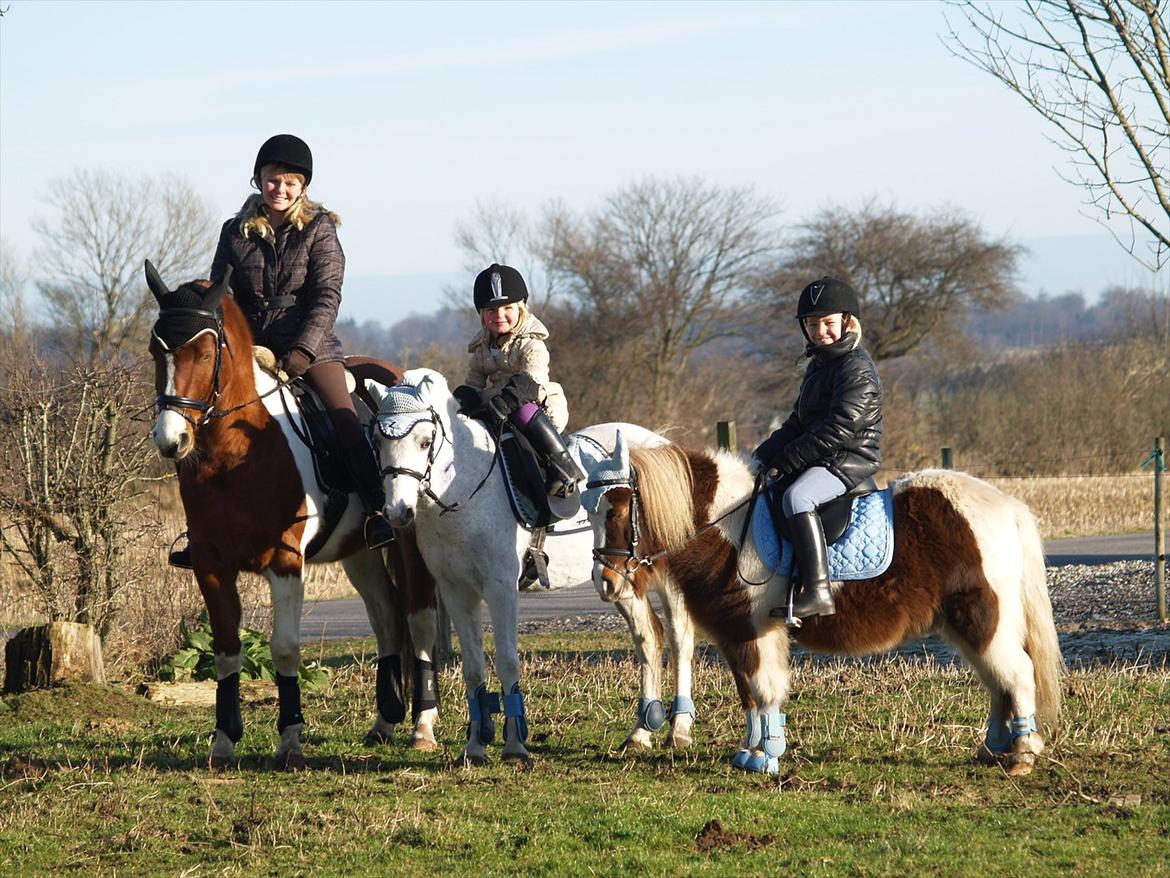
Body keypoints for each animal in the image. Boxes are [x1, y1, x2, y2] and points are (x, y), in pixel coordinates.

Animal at [146, 259, 439, 767]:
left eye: (203, 353)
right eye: (154, 351)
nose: (171, 440)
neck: (238, 450)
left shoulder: (284, 561)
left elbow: (284, 649)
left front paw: (290, 741)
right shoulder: (210, 565)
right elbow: (226, 650)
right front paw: (224, 741)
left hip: (410, 541)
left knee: (418, 619)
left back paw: (422, 726)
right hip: (359, 551)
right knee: (386, 616)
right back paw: (384, 721)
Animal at [365, 367, 692, 767]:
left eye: (426, 441)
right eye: (378, 440)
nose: (398, 512)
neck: (464, 489)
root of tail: (661, 443)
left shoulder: (501, 588)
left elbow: (507, 660)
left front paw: (514, 746)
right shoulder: (457, 592)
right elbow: (473, 667)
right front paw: (474, 747)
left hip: (664, 573)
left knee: (679, 636)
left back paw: (679, 729)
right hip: (619, 578)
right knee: (648, 638)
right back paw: (639, 734)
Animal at [582, 437, 1062, 777]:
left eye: (619, 509)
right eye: (590, 508)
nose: (605, 582)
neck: (730, 528)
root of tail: (1009, 508)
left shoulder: (755, 632)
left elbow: (765, 691)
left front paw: (767, 756)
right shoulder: (735, 634)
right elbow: (749, 696)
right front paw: (750, 753)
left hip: (983, 619)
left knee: (1017, 674)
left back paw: (1021, 754)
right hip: (965, 624)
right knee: (998, 681)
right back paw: (992, 749)